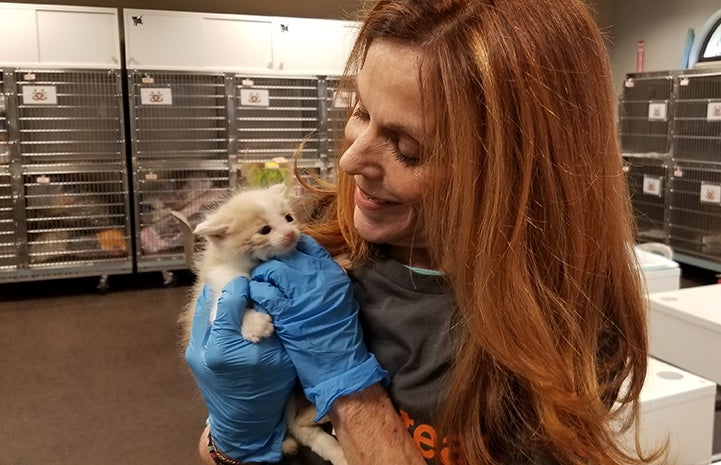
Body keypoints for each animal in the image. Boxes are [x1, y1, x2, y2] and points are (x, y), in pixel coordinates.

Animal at [181, 182, 348, 464]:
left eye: (289, 218)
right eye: (265, 230)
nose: (291, 232)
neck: (253, 268)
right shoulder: (220, 289)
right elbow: (228, 310)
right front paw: (255, 325)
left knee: (300, 426)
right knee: (298, 427)